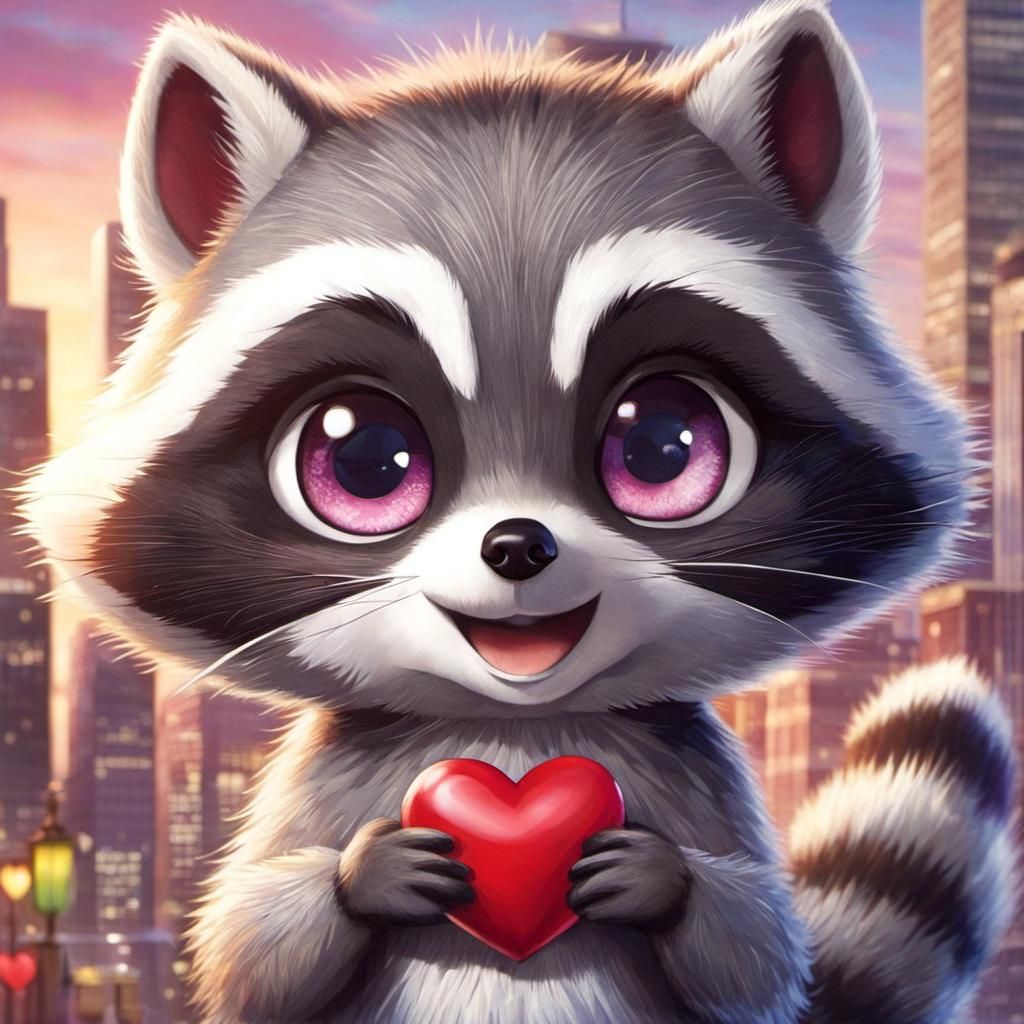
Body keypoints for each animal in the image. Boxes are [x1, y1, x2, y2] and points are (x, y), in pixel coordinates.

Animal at [22, 1, 1016, 1021]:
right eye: (362, 456)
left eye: (665, 443)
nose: (517, 545)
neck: (514, 727)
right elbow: (250, 948)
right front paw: (362, 873)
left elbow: (756, 955)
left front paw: (665, 879)